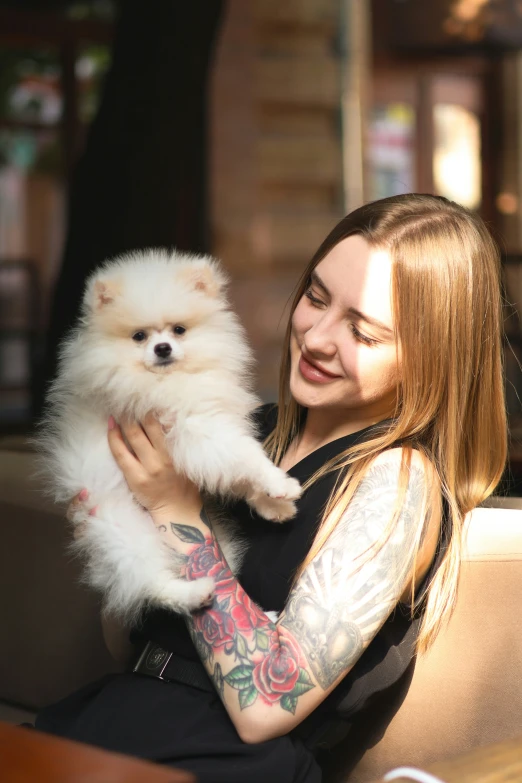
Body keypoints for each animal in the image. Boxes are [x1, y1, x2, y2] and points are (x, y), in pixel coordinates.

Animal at [34, 248, 298, 620]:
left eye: (179, 330)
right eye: (139, 336)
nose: (162, 348)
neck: (169, 380)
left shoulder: (204, 435)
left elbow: (238, 476)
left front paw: (274, 504)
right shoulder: (194, 430)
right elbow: (245, 456)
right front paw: (279, 483)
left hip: (214, 540)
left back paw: (262, 614)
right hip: (124, 530)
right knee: (149, 583)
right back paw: (192, 594)